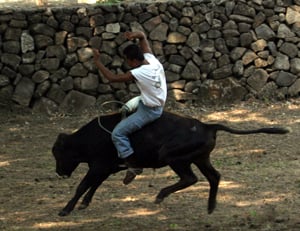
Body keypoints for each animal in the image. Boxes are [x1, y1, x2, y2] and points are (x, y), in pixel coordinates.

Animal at [51, 111, 288, 216]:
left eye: (57, 153)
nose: (59, 172)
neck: (89, 138)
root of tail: (207, 126)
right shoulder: (105, 168)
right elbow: (94, 185)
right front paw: (83, 203)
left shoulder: (98, 166)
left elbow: (84, 185)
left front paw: (65, 209)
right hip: (201, 158)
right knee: (214, 176)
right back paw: (210, 206)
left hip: (175, 158)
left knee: (190, 178)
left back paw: (161, 195)